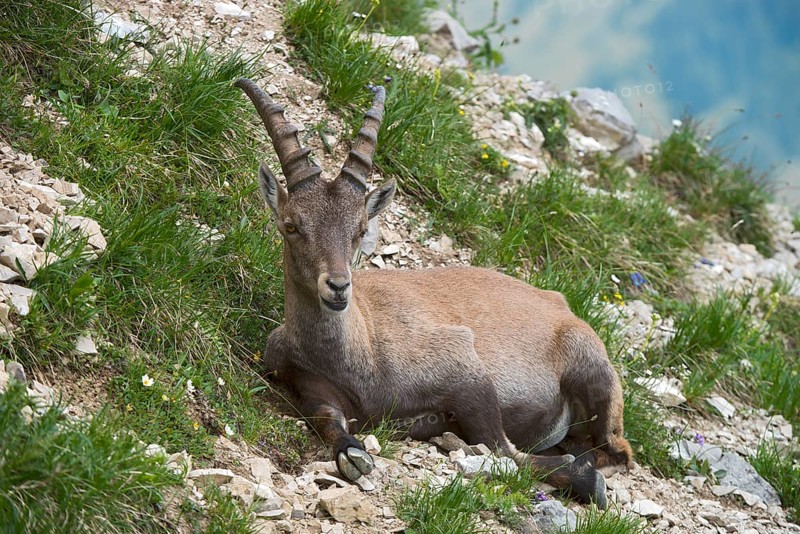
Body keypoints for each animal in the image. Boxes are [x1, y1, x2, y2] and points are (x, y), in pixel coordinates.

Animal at [235, 78, 633, 507]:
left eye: (360, 228)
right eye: (292, 225)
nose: (338, 287)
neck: (359, 351)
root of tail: (560, 303)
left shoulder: (463, 366)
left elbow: (503, 450)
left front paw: (583, 478)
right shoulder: (305, 382)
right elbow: (329, 421)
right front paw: (354, 452)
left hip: (594, 370)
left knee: (616, 451)